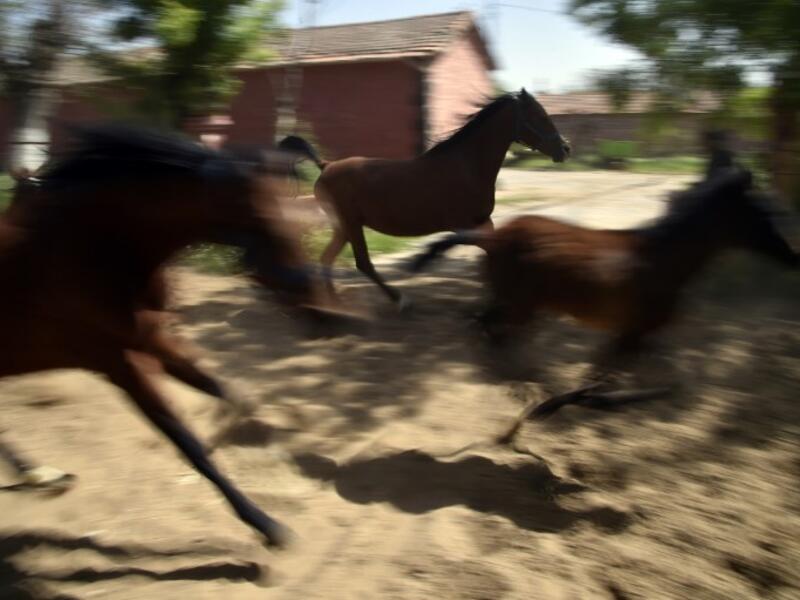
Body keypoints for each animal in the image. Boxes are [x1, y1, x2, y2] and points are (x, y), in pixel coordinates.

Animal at [0, 123, 342, 547]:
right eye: (259, 223)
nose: (325, 315)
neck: (93, 252)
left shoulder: (156, 341)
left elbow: (235, 396)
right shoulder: (121, 363)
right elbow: (191, 446)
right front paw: (267, 525)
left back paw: (44, 476)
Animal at [291, 88, 570, 307]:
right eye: (540, 115)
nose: (565, 148)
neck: (467, 166)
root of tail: (326, 166)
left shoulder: (482, 222)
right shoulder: (465, 226)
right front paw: (422, 259)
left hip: (344, 227)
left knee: (326, 259)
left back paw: (334, 303)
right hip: (351, 224)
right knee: (362, 263)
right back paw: (399, 300)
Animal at [409, 169, 798, 405]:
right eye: (761, 215)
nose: (792, 257)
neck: (662, 258)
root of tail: (494, 239)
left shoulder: (638, 335)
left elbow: (646, 374)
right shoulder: (631, 333)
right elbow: (600, 376)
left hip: (519, 303)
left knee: (485, 325)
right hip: (518, 304)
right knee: (488, 328)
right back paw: (519, 381)